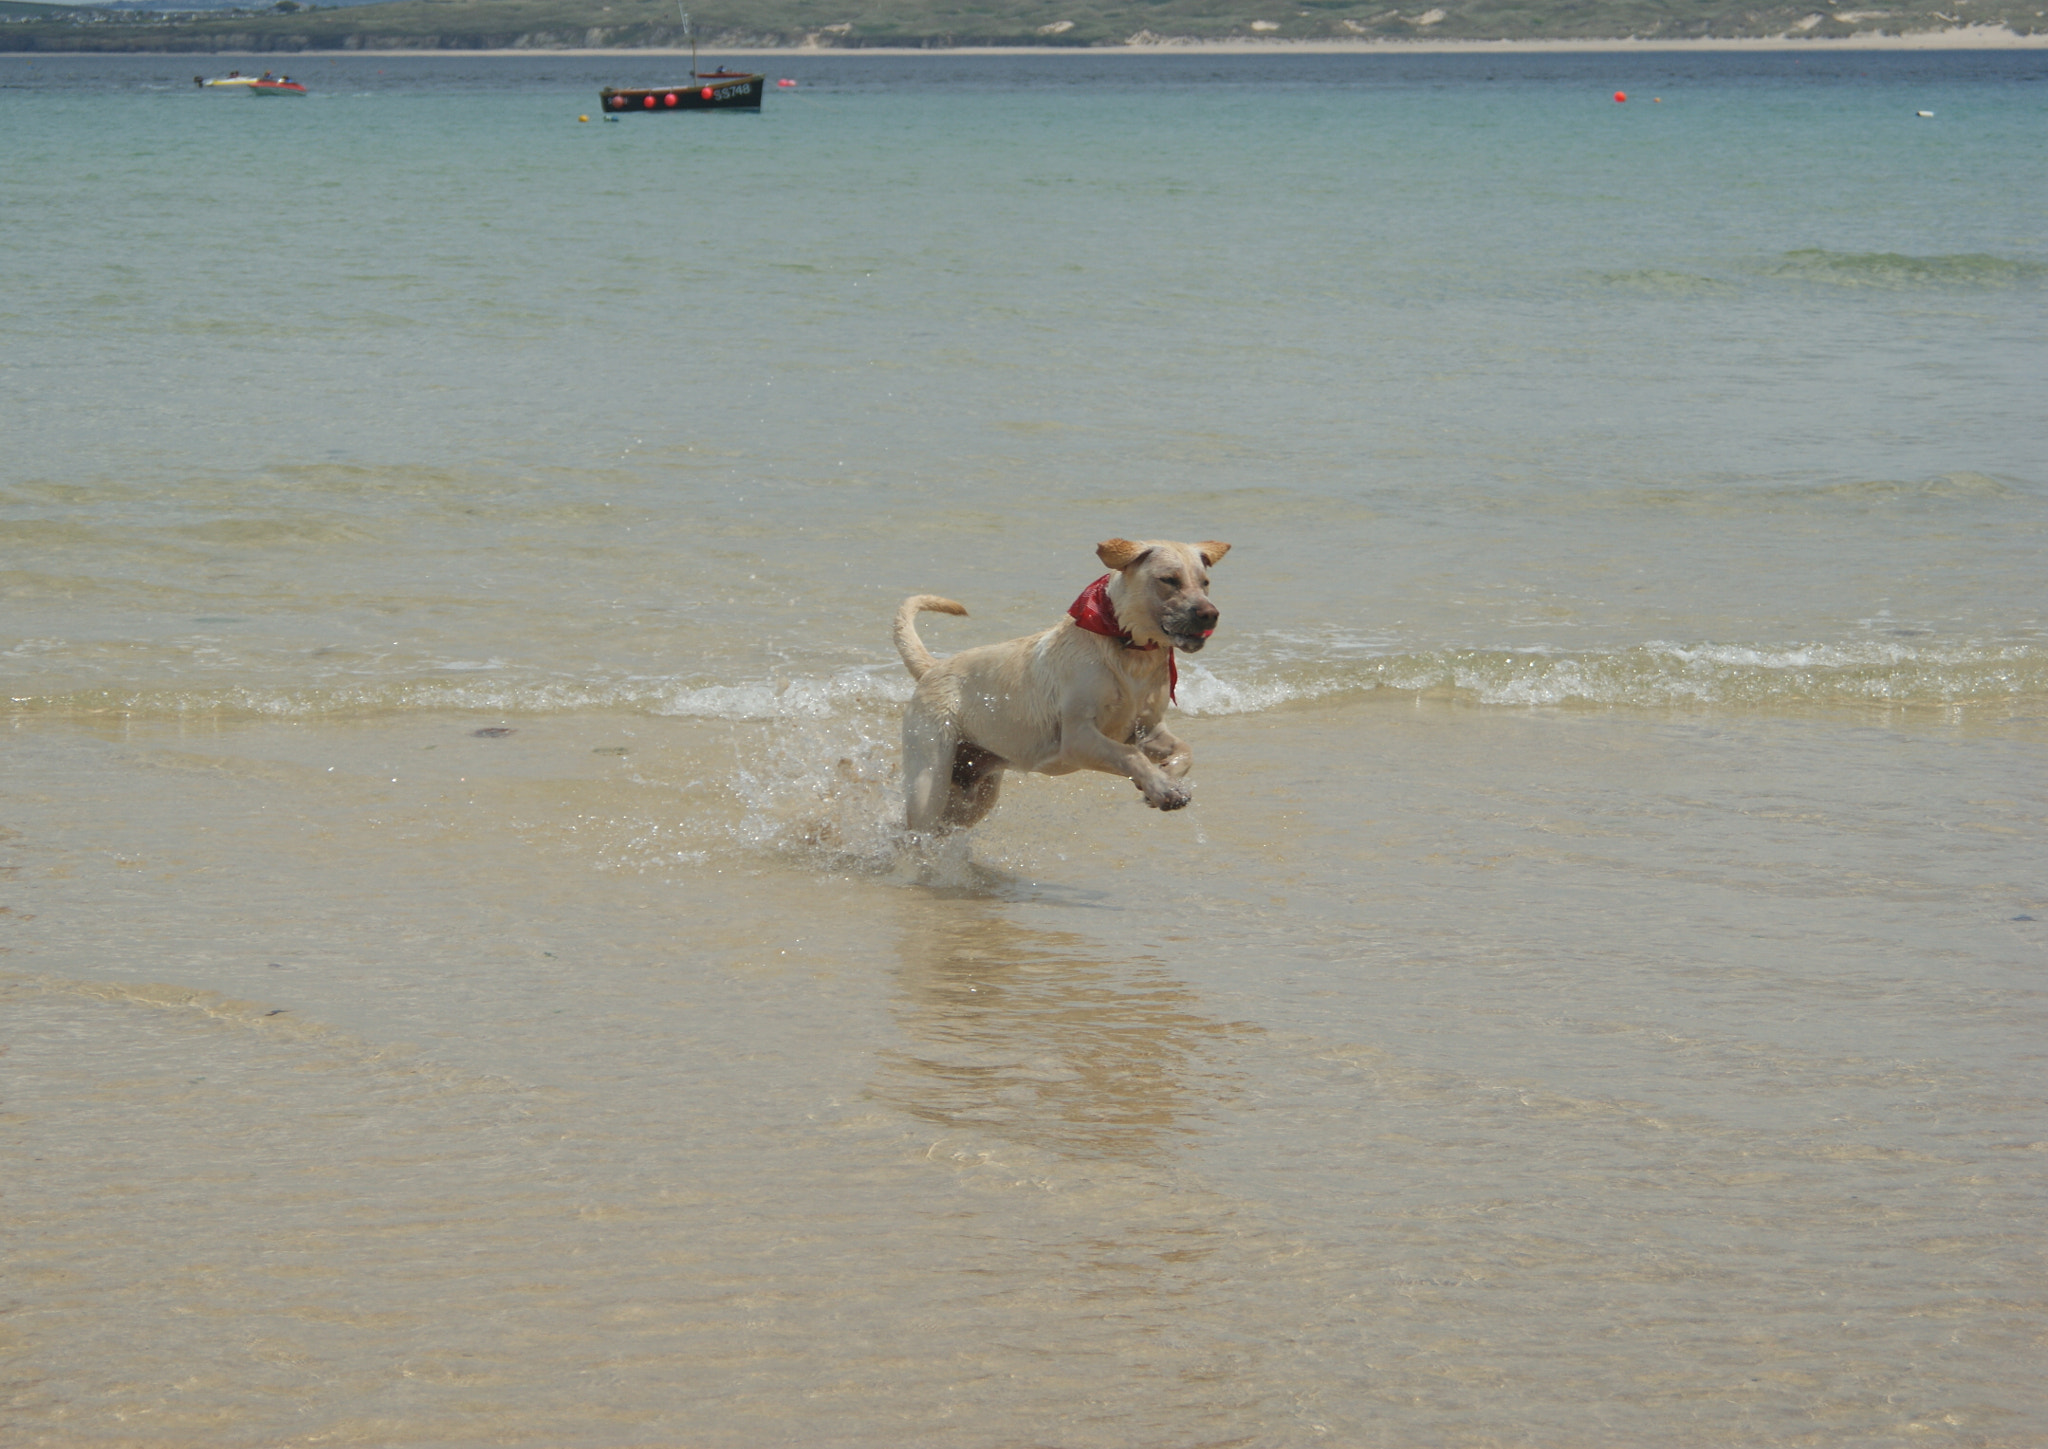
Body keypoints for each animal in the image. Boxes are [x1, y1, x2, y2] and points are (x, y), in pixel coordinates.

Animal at [888, 536, 1220, 830]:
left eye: (1205, 582)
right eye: (1169, 580)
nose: (1210, 614)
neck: (1127, 646)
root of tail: (932, 667)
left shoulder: (1146, 730)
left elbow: (1185, 750)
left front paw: (1166, 778)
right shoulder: (1079, 737)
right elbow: (1129, 755)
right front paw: (1163, 788)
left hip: (975, 791)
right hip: (929, 780)